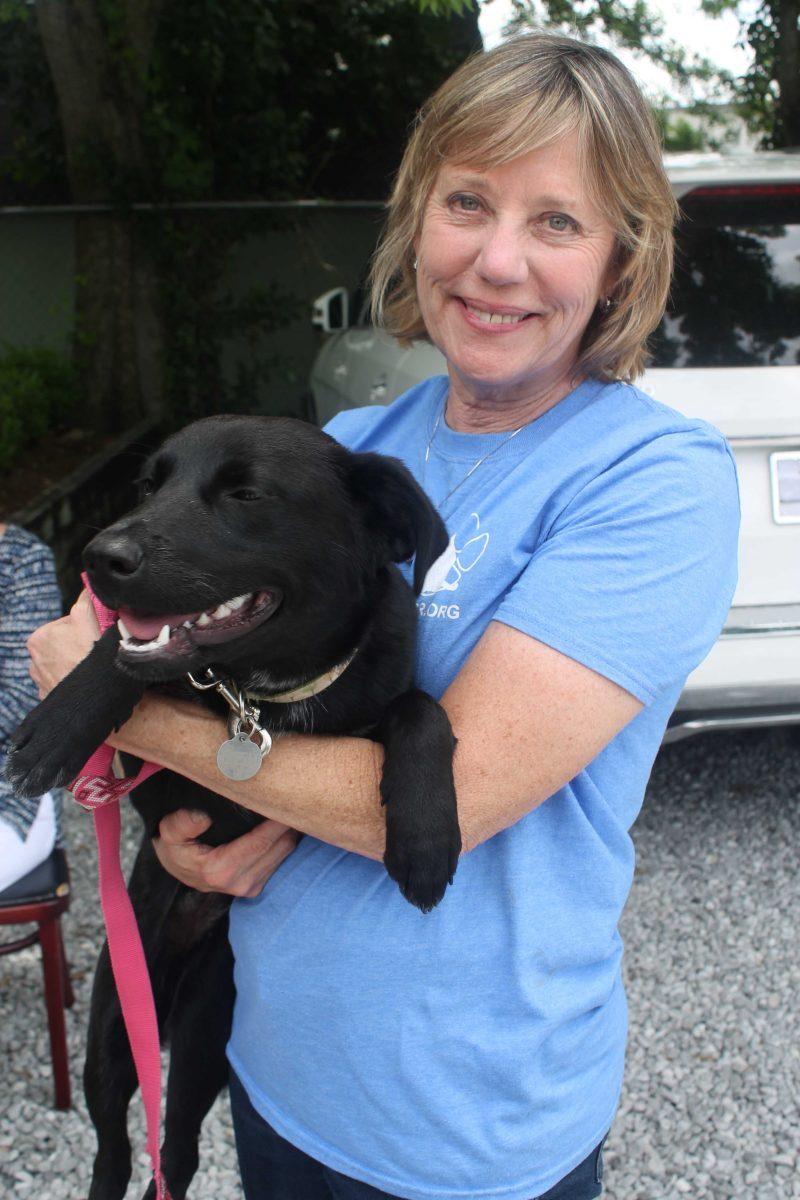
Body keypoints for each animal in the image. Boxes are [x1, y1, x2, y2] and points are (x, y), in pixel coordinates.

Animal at [6, 417, 460, 1200]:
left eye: (247, 493)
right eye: (148, 485)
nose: (100, 557)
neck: (262, 692)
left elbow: (422, 709)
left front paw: (427, 842)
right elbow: (117, 650)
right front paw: (60, 722)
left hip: (204, 1039)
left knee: (178, 1148)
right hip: (114, 1026)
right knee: (114, 1149)